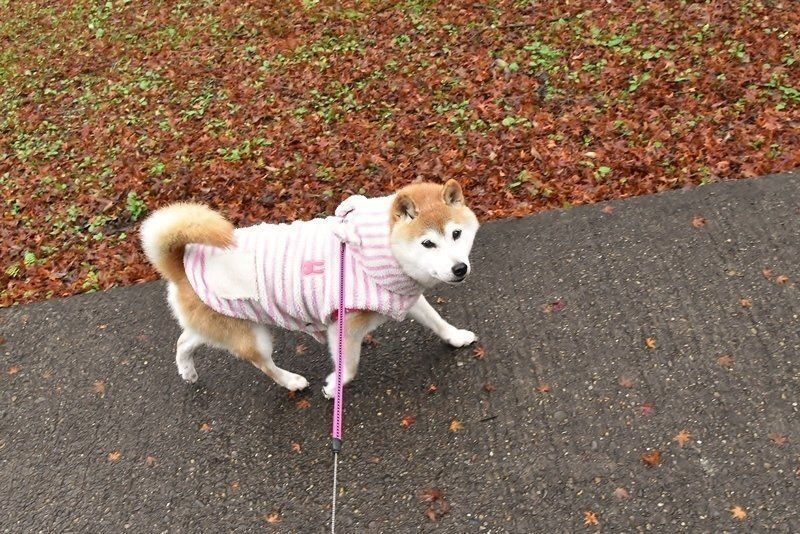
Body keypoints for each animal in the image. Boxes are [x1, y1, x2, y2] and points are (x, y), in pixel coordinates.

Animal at [140, 179, 479, 397]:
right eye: (427, 243)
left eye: (457, 234)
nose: (459, 269)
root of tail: (180, 267)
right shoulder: (343, 326)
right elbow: (349, 367)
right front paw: (333, 387)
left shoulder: (404, 296)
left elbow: (437, 321)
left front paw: (456, 337)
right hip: (255, 336)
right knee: (263, 364)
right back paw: (291, 382)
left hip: (226, 325)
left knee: (184, 342)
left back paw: (187, 371)